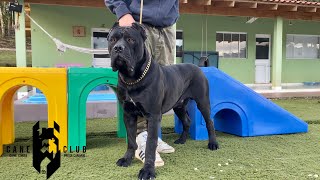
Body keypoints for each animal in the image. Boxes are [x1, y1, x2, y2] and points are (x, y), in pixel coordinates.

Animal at [109, 23, 219, 179]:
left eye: (130, 39)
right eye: (112, 39)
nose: (118, 48)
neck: (132, 80)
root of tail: (198, 67)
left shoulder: (153, 116)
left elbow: (150, 144)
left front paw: (148, 170)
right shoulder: (128, 114)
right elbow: (131, 139)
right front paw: (126, 159)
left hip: (203, 102)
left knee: (210, 122)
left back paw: (213, 144)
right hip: (179, 105)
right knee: (187, 121)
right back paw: (182, 140)